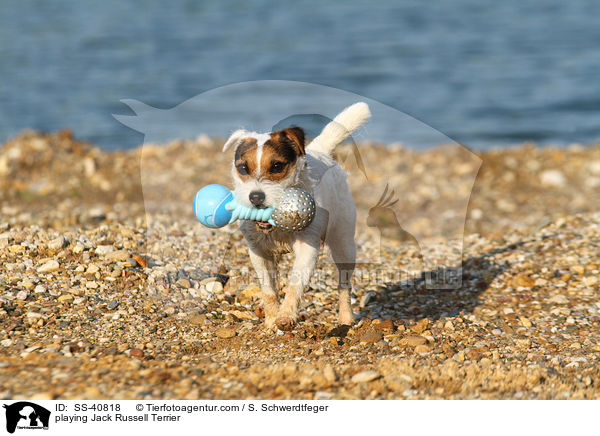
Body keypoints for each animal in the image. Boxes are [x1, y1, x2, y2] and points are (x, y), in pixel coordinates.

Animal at [223, 103, 368, 330]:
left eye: (276, 166)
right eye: (243, 168)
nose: (255, 197)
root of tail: (321, 151)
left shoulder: (307, 248)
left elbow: (295, 284)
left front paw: (285, 315)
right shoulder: (258, 252)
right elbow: (268, 289)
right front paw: (272, 319)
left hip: (344, 244)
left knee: (344, 283)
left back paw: (346, 317)